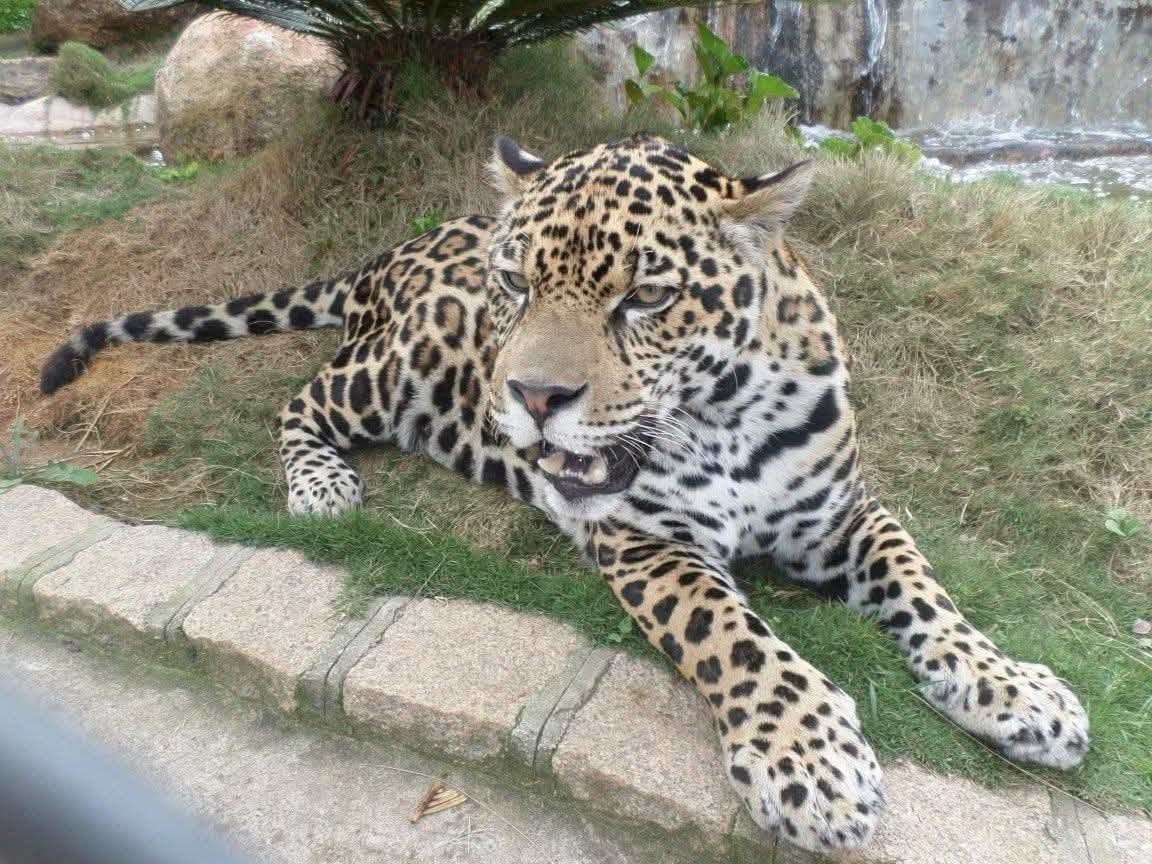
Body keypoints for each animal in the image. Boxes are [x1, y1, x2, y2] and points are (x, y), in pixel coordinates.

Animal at [40, 134, 1089, 854]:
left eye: (646, 297)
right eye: (514, 283)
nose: (533, 396)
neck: (723, 416)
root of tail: (396, 250)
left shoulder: (844, 514)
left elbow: (926, 590)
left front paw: (1012, 688)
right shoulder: (647, 540)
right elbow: (736, 638)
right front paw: (810, 760)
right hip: (393, 369)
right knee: (297, 402)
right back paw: (324, 484)